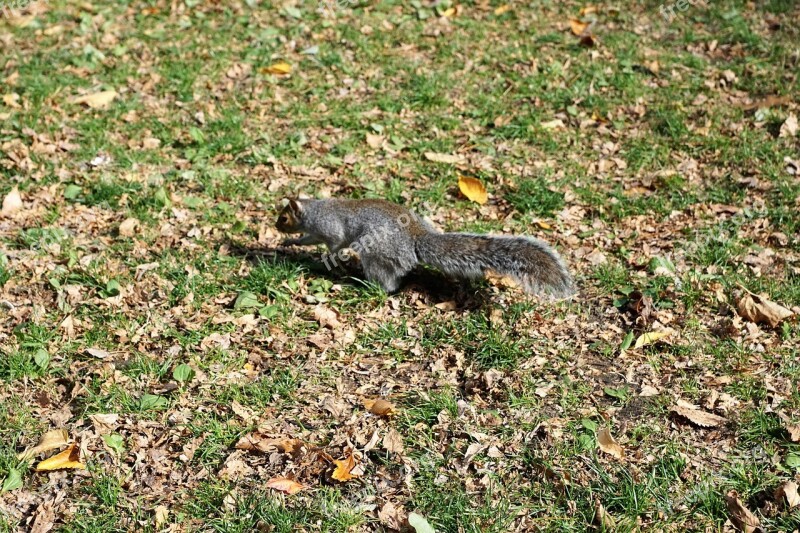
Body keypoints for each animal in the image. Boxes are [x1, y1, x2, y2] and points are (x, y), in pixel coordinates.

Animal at [276, 198, 576, 300]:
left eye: (284, 218)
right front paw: (291, 243)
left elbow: (334, 244)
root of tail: (416, 240)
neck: (315, 209)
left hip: (375, 254)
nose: (276, 226)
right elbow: (308, 240)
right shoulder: (314, 232)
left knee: (389, 283)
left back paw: (364, 286)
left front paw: (325, 258)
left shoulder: (330, 229)